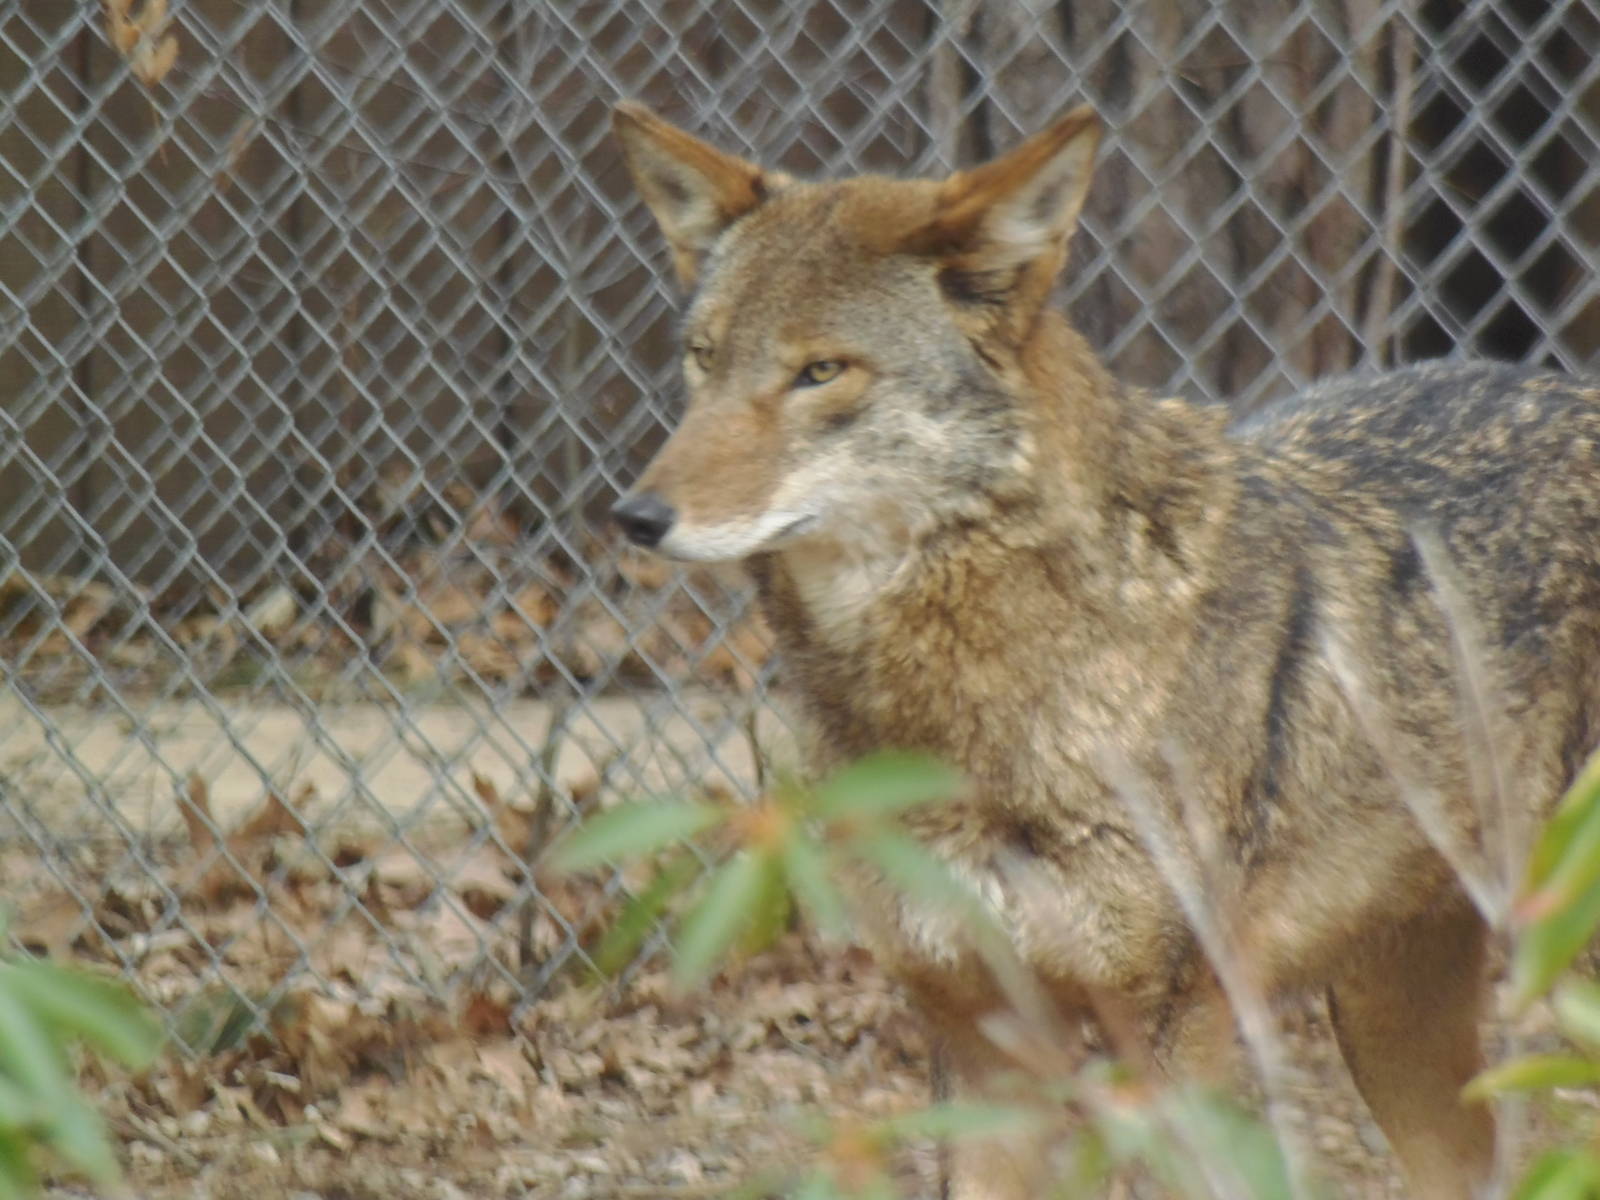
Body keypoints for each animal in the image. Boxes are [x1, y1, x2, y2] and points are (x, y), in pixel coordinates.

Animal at [608, 100, 1600, 1199]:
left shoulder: (1177, 1034)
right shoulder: (983, 1041)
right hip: (1391, 1023)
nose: (635, 517)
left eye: (820, 371)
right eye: (702, 358)